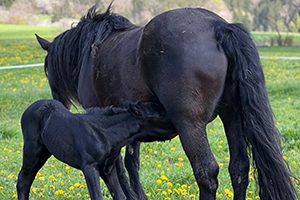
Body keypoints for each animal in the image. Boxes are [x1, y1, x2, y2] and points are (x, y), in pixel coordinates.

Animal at [16, 100, 168, 200]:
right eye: (160, 115)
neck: (104, 134)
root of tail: (27, 110)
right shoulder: (89, 167)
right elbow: (97, 196)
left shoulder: (108, 169)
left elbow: (120, 196)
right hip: (32, 150)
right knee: (23, 179)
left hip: (44, 153)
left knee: (28, 178)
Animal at [35, 3, 298, 200]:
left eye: (48, 71)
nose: (56, 103)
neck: (93, 49)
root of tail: (219, 27)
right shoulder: (131, 124)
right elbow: (131, 163)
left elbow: (115, 168)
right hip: (232, 117)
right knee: (239, 169)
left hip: (191, 126)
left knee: (206, 173)